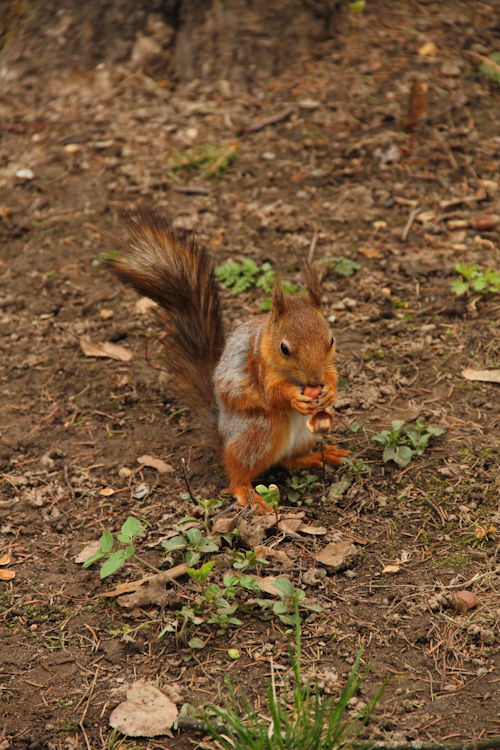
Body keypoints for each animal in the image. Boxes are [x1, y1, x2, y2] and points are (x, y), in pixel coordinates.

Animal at [105, 214, 348, 516]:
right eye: (284, 348)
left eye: (331, 340)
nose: (314, 381)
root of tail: (223, 435)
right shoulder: (260, 367)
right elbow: (273, 394)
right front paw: (294, 398)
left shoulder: (328, 365)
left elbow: (334, 374)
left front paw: (330, 391)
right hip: (258, 432)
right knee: (239, 473)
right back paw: (248, 494)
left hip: (305, 436)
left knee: (286, 461)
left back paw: (319, 455)